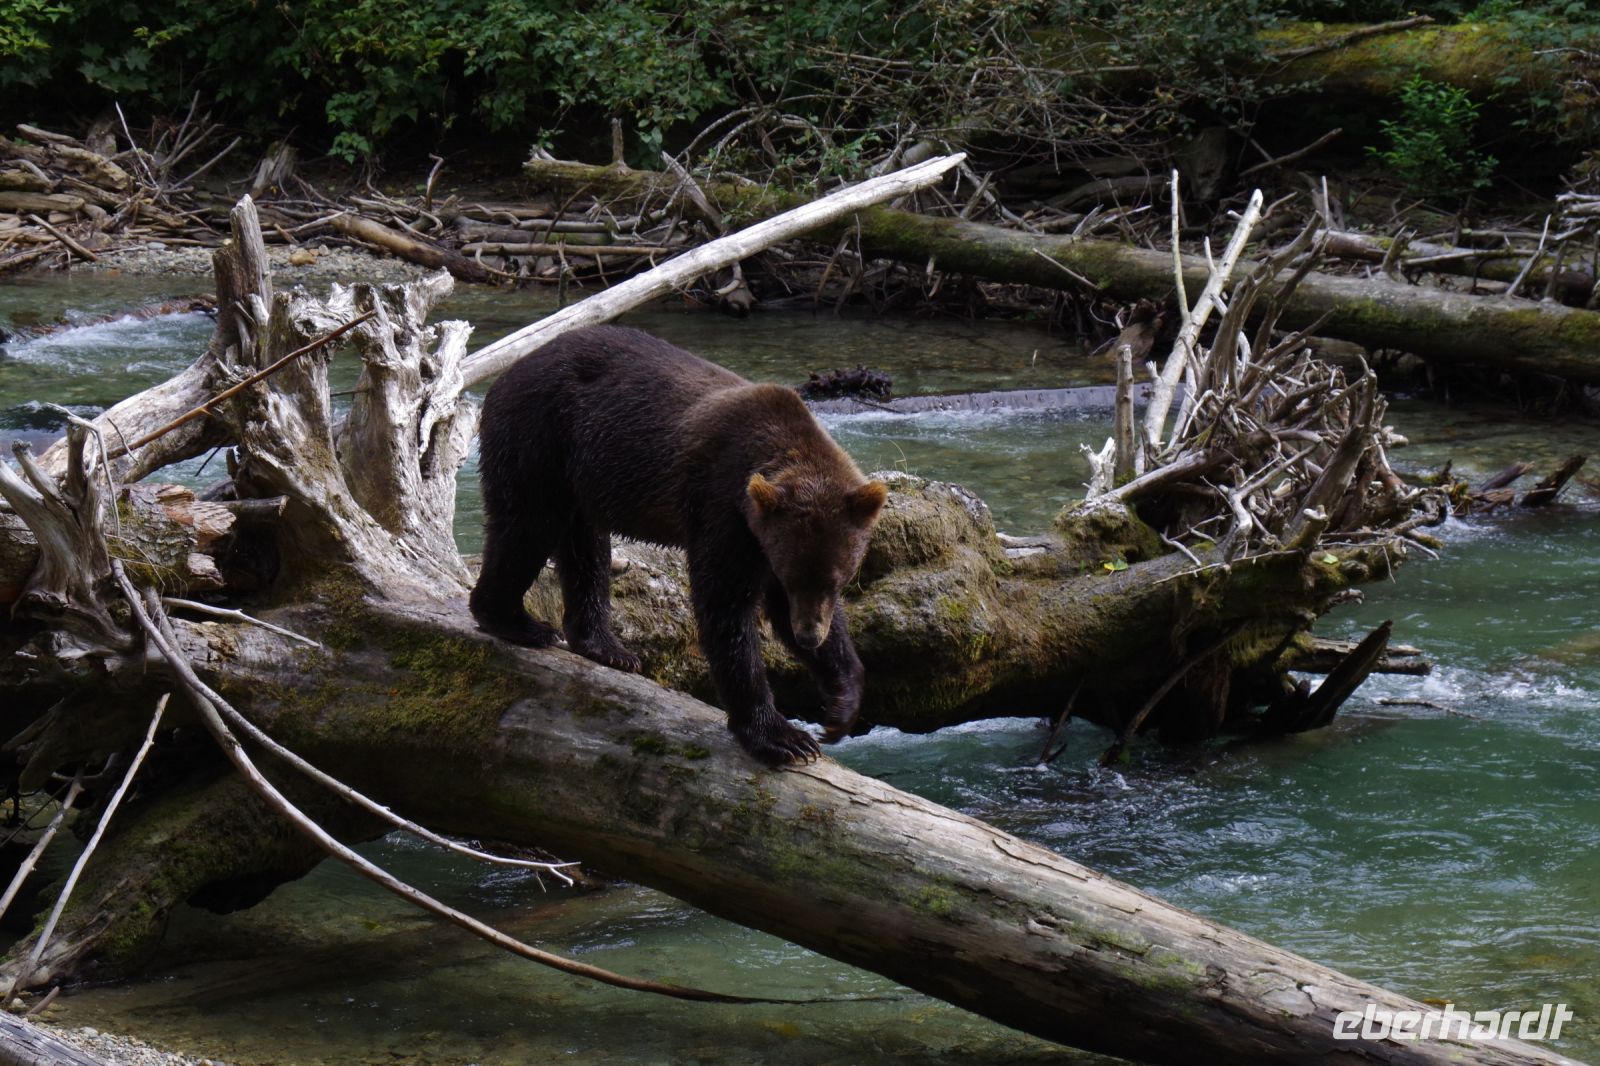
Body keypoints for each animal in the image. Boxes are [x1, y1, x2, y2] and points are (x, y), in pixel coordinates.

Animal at [469, 324, 888, 766]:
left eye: (839, 580)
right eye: (795, 577)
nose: (808, 635)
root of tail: (507, 372)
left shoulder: (767, 536)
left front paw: (840, 705)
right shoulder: (724, 508)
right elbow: (726, 608)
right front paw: (782, 737)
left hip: (579, 473)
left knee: (585, 548)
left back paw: (606, 646)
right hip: (539, 436)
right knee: (527, 525)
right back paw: (517, 621)